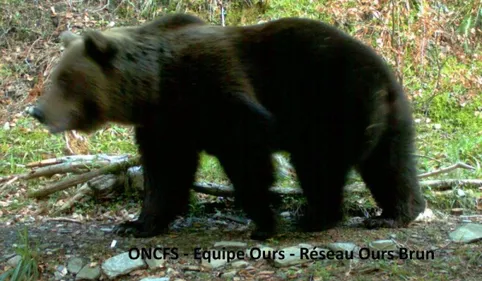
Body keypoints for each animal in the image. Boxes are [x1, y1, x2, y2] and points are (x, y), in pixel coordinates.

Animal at [28, 13, 426, 240]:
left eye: (63, 80)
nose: (37, 111)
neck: (155, 86)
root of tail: (383, 77)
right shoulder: (165, 123)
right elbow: (165, 172)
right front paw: (136, 224)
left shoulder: (217, 95)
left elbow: (247, 159)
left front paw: (263, 222)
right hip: (391, 118)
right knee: (392, 166)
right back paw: (395, 214)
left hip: (331, 104)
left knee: (319, 165)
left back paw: (316, 216)